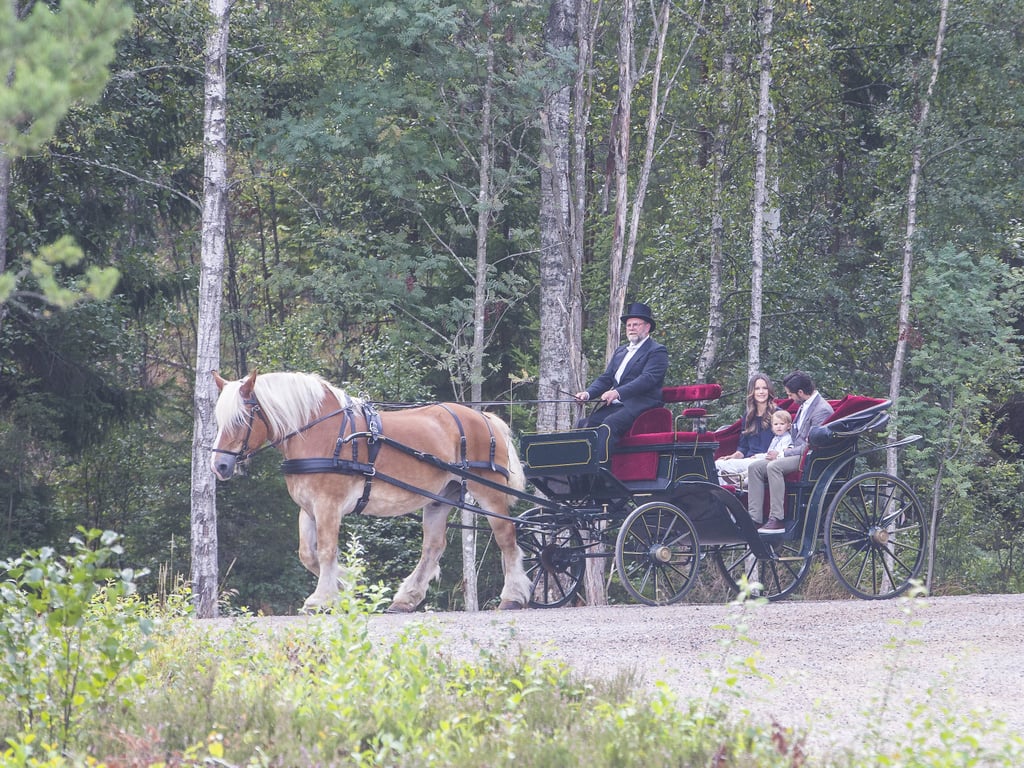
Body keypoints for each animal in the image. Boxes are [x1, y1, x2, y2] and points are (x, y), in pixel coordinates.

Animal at [207, 370, 528, 614]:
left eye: (241, 419)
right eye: (219, 420)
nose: (219, 466)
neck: (319, 432)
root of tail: (485, 418)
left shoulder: (328, 504)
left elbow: (326, 550)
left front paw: (321, 598)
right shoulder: (308, 507)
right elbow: (307, 554)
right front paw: (349, 583)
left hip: (488, 490)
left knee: (506, 537)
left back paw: (513, 596)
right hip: (441, 497)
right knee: (433, 546)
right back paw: (405, 599)